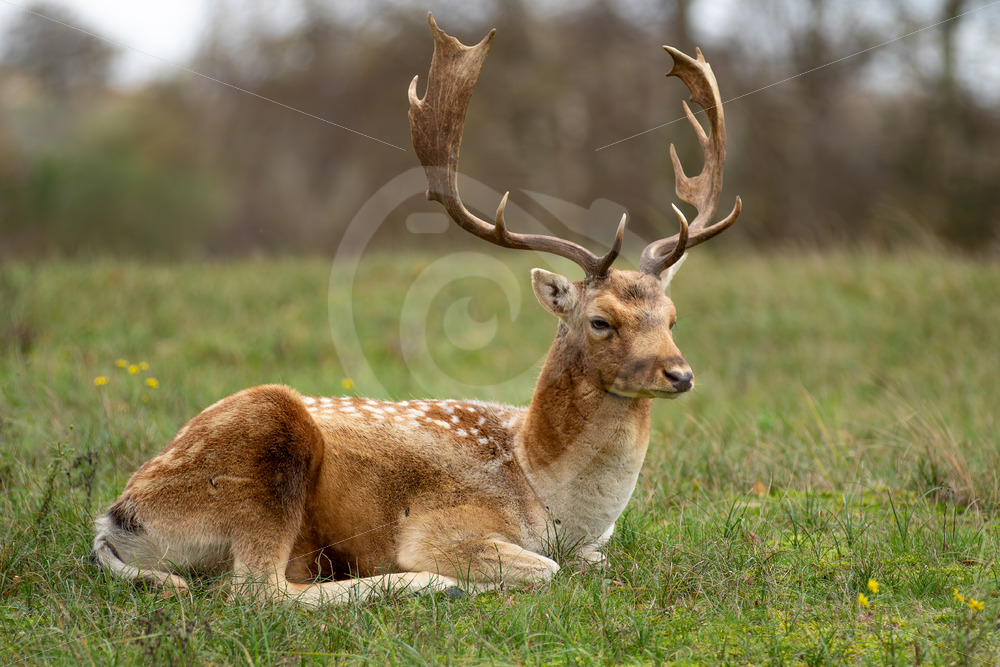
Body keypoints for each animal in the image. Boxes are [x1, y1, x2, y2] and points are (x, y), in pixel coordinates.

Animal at [92, 13, 741, 607]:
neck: (544, 492)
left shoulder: (591, 546)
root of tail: (116, 519)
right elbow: (546, 570)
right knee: (257, 590)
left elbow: (593, 563)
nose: (680, 373)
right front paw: (456, 577)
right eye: (601, 320)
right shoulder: (443, 525)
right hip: (266, 447)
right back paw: (424, 584)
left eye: (672, 316)